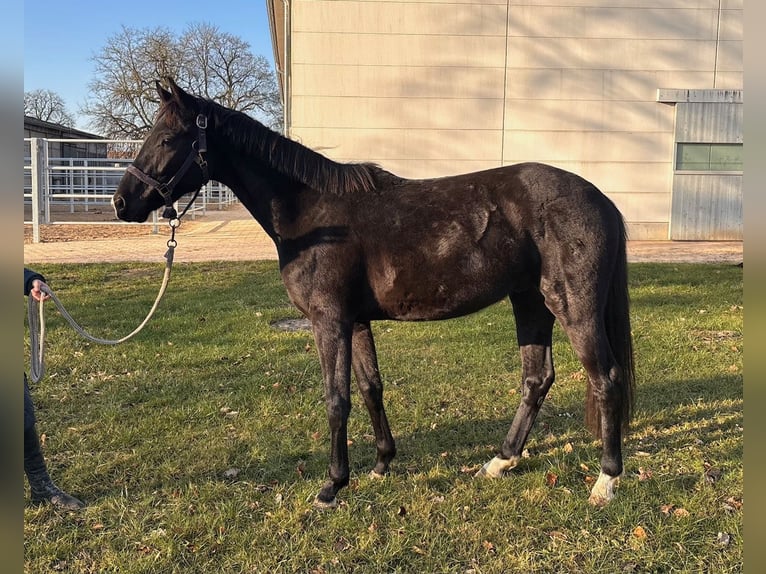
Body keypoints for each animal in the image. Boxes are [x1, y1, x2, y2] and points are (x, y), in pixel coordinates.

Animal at [112, 79, 636, 510]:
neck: (312, 214)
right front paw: (382, 464)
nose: (121, 203)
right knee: (536, 379)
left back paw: (605, 481)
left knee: (605, 378)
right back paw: (500, 462)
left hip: (573, 307)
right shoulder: (356, 320)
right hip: (530, 302)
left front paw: (331, 485)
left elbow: (336, 398)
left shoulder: (329, 321)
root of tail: (600, 199)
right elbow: (370, 388)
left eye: (166, 138)